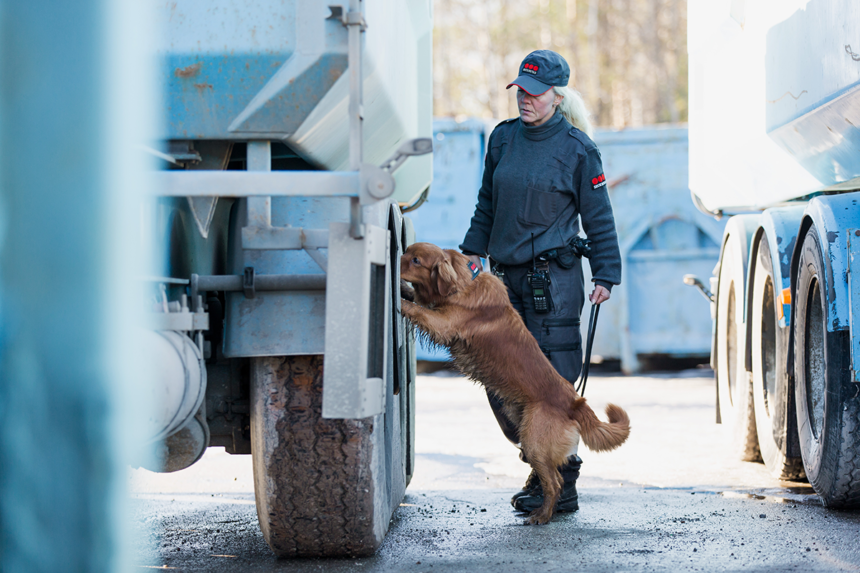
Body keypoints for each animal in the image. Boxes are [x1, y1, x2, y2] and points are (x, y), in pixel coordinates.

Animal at [398, 240, 632, 524]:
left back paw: (542, 516)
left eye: (416, 261)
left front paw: (399, 298)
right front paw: (402, 289)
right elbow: (416, 299)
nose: (394, 259)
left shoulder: (444, 323)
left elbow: (416, 308)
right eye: (406, 252)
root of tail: (576, 402)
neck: (465, 283)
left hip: (534, 440)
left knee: (555, 482)